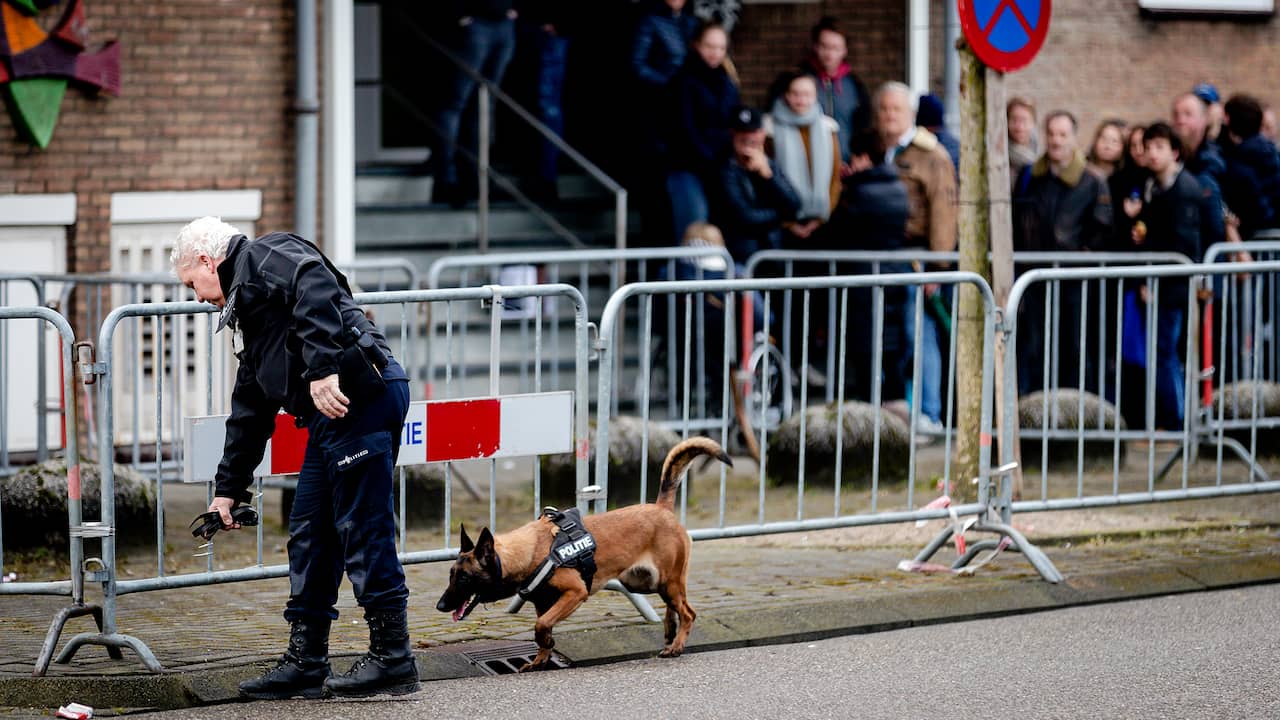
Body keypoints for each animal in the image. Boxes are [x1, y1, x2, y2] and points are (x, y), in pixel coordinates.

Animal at [435, 438, 732, 666]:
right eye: (450, 576)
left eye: (464, 578)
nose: (440, 606)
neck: (529, 552)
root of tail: (661, 507)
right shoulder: (544, 602)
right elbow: (541, 627)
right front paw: (540, 659)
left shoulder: (575, 592)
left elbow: (541, 626)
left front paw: (546, 647)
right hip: (647, 583)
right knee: (675, 607)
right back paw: (670, 632)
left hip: (666, 581)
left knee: (689, 613)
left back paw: (677, 645)